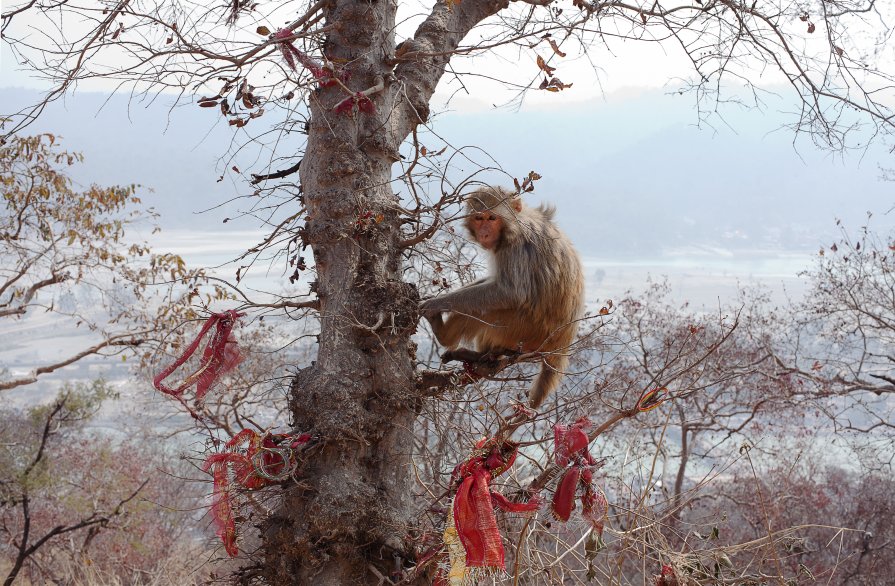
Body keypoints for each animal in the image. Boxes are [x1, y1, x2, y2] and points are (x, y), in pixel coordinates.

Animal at [422, 186, 588, 406]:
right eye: (479, 218)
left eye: (492, 218)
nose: (484, 233)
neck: (516, 222)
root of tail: (561, 343)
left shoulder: (516, 247)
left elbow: (509, 292)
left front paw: (437, 304)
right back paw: (481, 356)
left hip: (524, 331)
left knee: (484, 310)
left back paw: (444, 335)